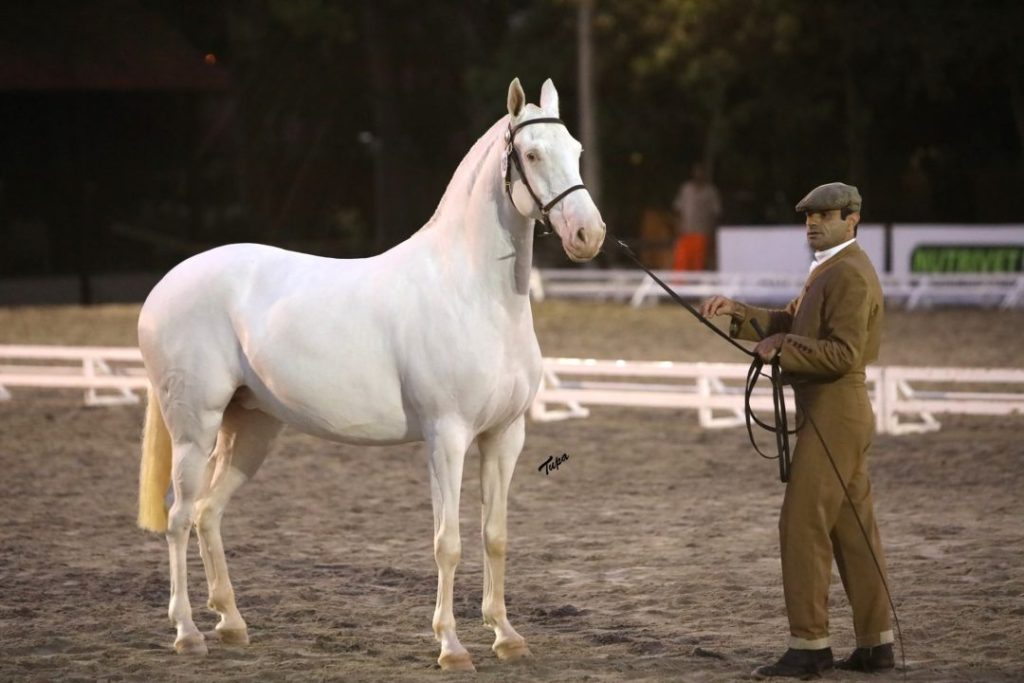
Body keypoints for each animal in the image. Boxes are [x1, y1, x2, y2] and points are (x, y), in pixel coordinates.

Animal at [135, 77, 598, 671]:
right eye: (533, 154)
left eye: (577, 151)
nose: (589, 234)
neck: (473, 294)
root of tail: (164, 286)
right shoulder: (446, 437)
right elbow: (448, 542)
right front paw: (451, 647)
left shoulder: (505, 436)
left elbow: (494, 535)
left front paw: (506, 636)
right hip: (195, 428)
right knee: (177, 518)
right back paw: (188, 632)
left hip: (251, 428)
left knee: (207, 514)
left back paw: (232, 625)